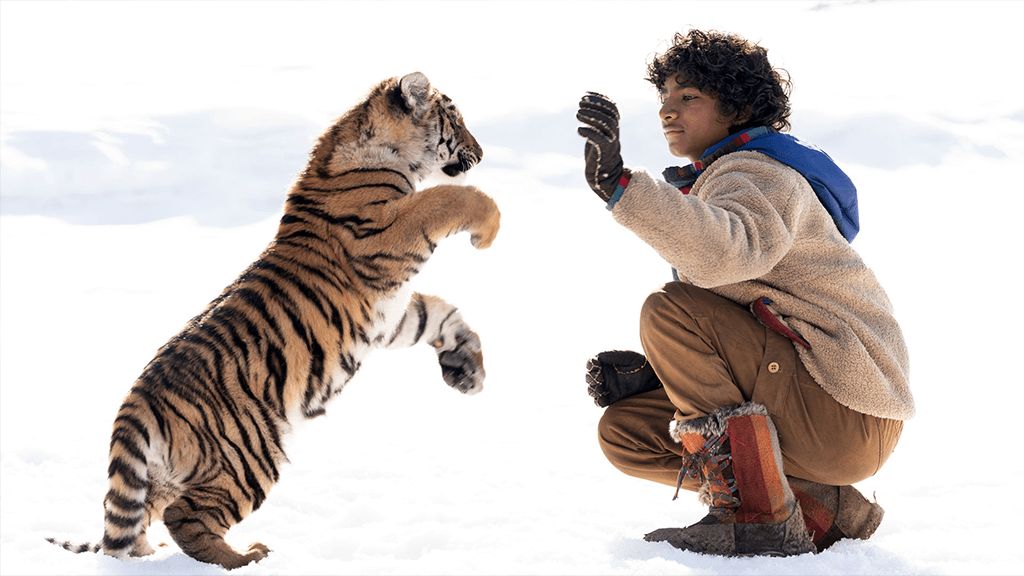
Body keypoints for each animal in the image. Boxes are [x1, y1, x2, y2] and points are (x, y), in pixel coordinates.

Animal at [47, 71, 500, 570]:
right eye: (455, 119)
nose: (482, 152)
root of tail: (136, 403)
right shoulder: (385, 231)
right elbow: (449, 198)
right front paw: (487, 230)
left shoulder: (391, 316)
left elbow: (440, 314)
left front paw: (467, 370)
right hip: (248, 455)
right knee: (186, 517)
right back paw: (245, 557)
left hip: (170, 473)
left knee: (138, 520)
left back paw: (149, 554)